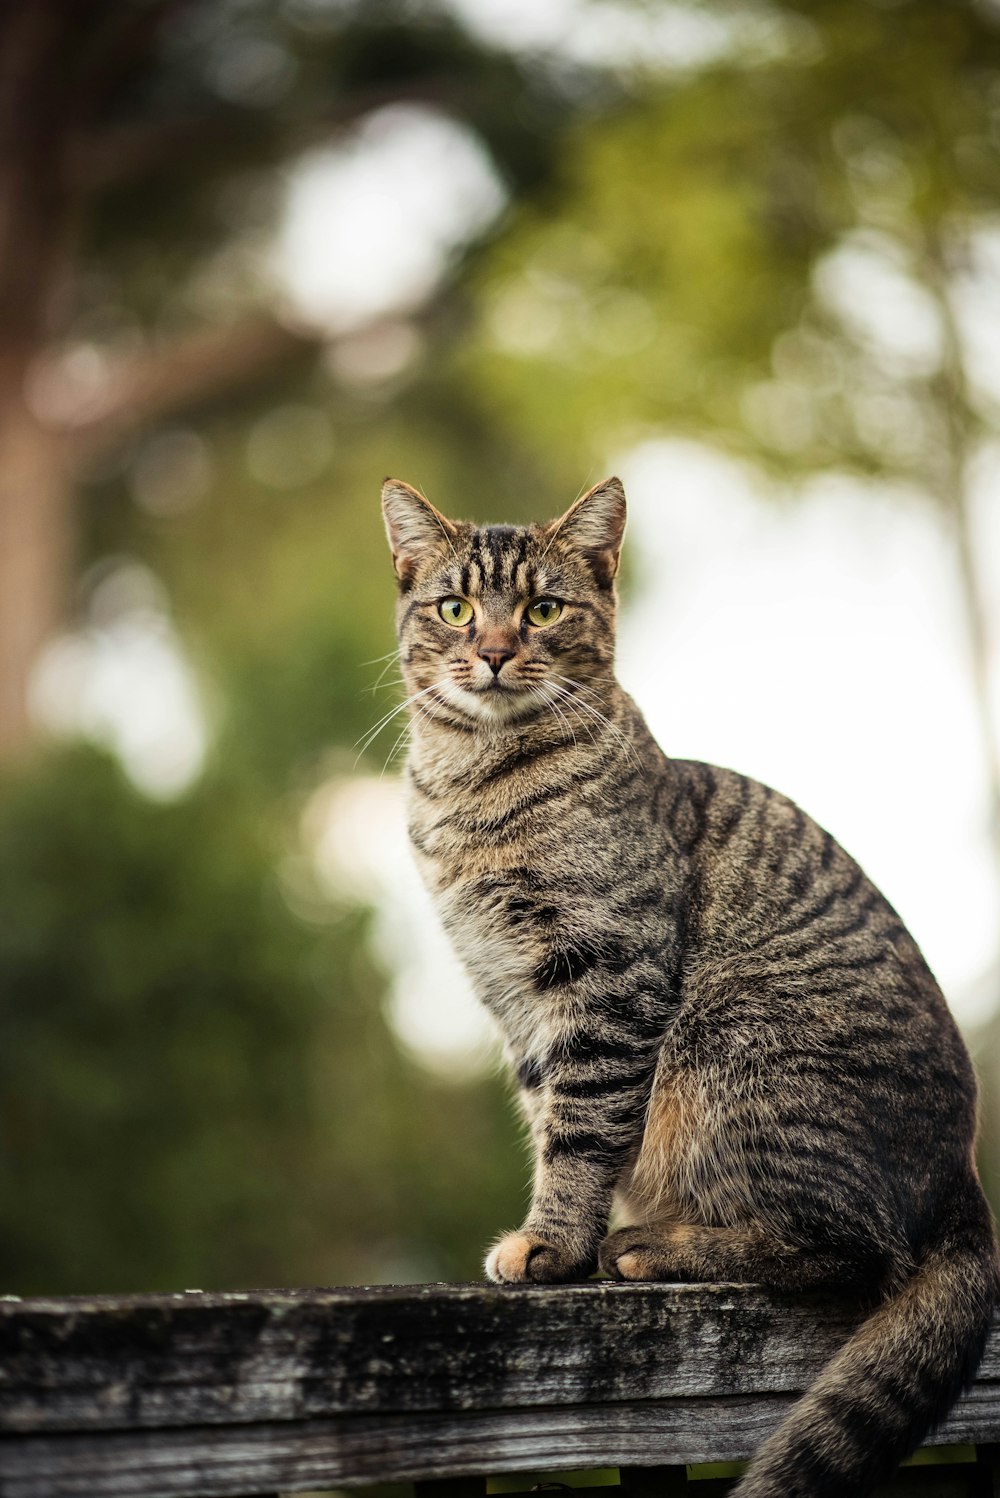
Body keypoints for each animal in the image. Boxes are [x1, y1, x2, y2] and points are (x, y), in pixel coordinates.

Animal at [378, 476, 994, 1498]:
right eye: (456, 608)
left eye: (543, 610)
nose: (495, 653)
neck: (469, 791)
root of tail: (964, 1180)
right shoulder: (515, 1000)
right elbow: (552, 1118)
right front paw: (563, 1236)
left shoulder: (605, 978)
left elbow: (582, 1130)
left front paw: (554, 1244)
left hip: (732, 1051)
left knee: (851, 1249)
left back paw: (653, 1245)